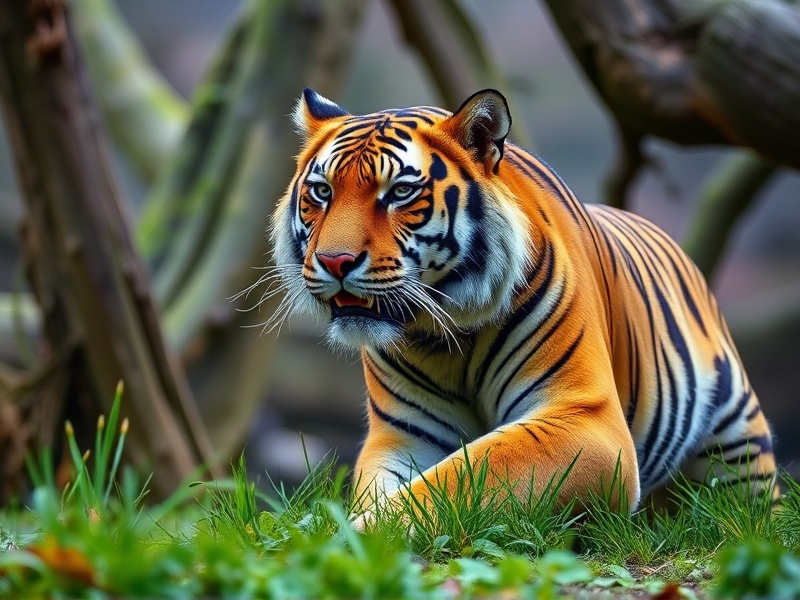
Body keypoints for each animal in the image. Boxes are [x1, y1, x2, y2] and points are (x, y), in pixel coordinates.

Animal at [267, 87, 778, 523]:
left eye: (399, 193)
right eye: (322, 192)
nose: (335, 261)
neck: (446, 335)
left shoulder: (586, 418)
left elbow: (460, 476)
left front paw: (360, 533)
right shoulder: (401, 434)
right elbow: (386, 487)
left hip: (739, 436)